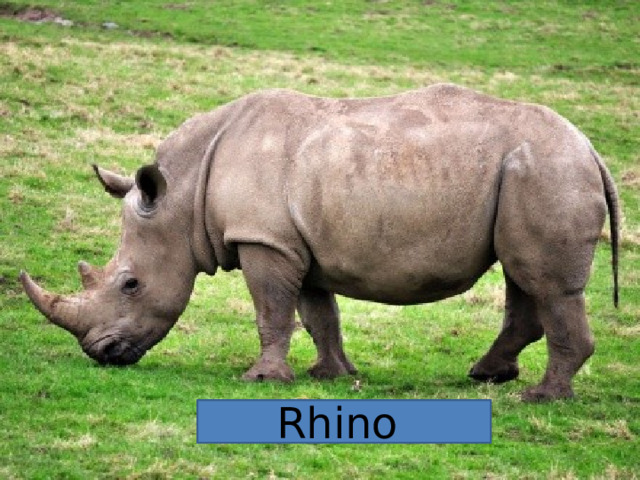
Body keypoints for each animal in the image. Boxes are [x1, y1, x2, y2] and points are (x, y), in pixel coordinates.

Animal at [20, 84, 619, 402]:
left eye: (130, 284)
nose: (100, 355)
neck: (182, 195)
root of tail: (590, 148)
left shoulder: (263, 241)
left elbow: (271, 312)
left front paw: (261, 378)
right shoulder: (293, 245)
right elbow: (316, 313)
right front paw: (330, 375)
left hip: (547, 171)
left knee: (547, 284)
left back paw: (539, 397)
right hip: (531, 174)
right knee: (524, 278)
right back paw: (487, 375)